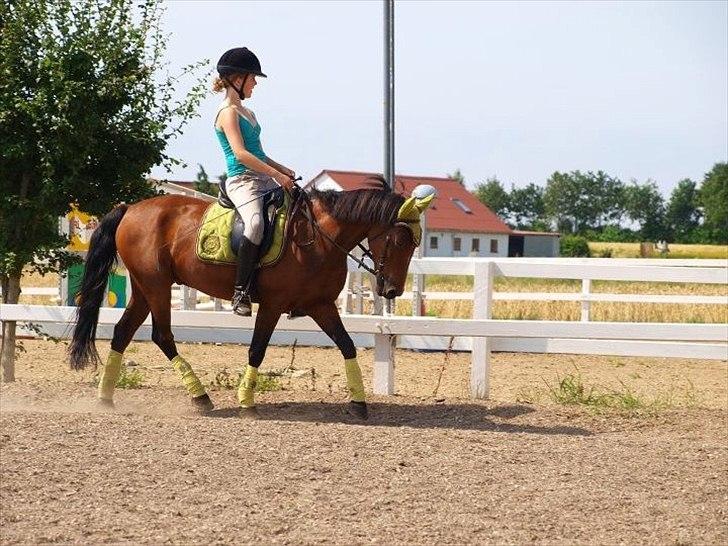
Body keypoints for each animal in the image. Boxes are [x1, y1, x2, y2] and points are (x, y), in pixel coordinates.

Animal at [68, 178, 436, 416]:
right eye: (400, 240)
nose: (392, 291)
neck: (319, 238)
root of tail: (130, 209)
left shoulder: (320, 305)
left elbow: (346, 345)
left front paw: (359, 402)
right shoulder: (272, 304)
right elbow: (257, 348)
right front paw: (246, 401)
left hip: (145, 288)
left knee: (122, 333)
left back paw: (105, 398)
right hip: (157, 287)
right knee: (162, 335)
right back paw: (200, 397)